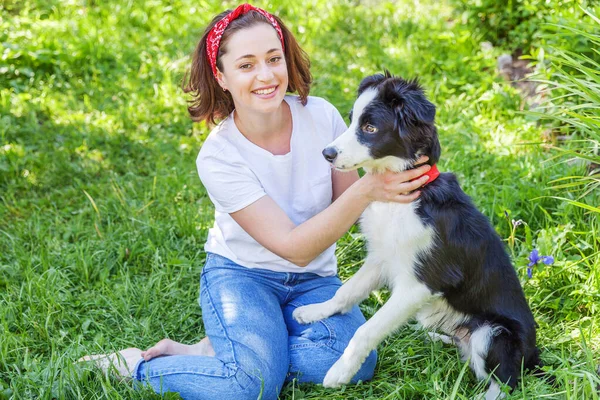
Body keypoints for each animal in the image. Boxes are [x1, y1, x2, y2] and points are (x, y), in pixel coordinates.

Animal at [292, 72, 540, 400]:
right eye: (351, 119)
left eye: (370, 128)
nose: (326, 154)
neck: (401, 200)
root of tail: (535, 357)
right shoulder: (381, 258)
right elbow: (346, 292)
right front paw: (315, 311)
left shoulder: (422, 283)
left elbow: (367, 329)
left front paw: (340, 372)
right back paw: (434, 337)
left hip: (493, 333)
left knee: (505, 384)